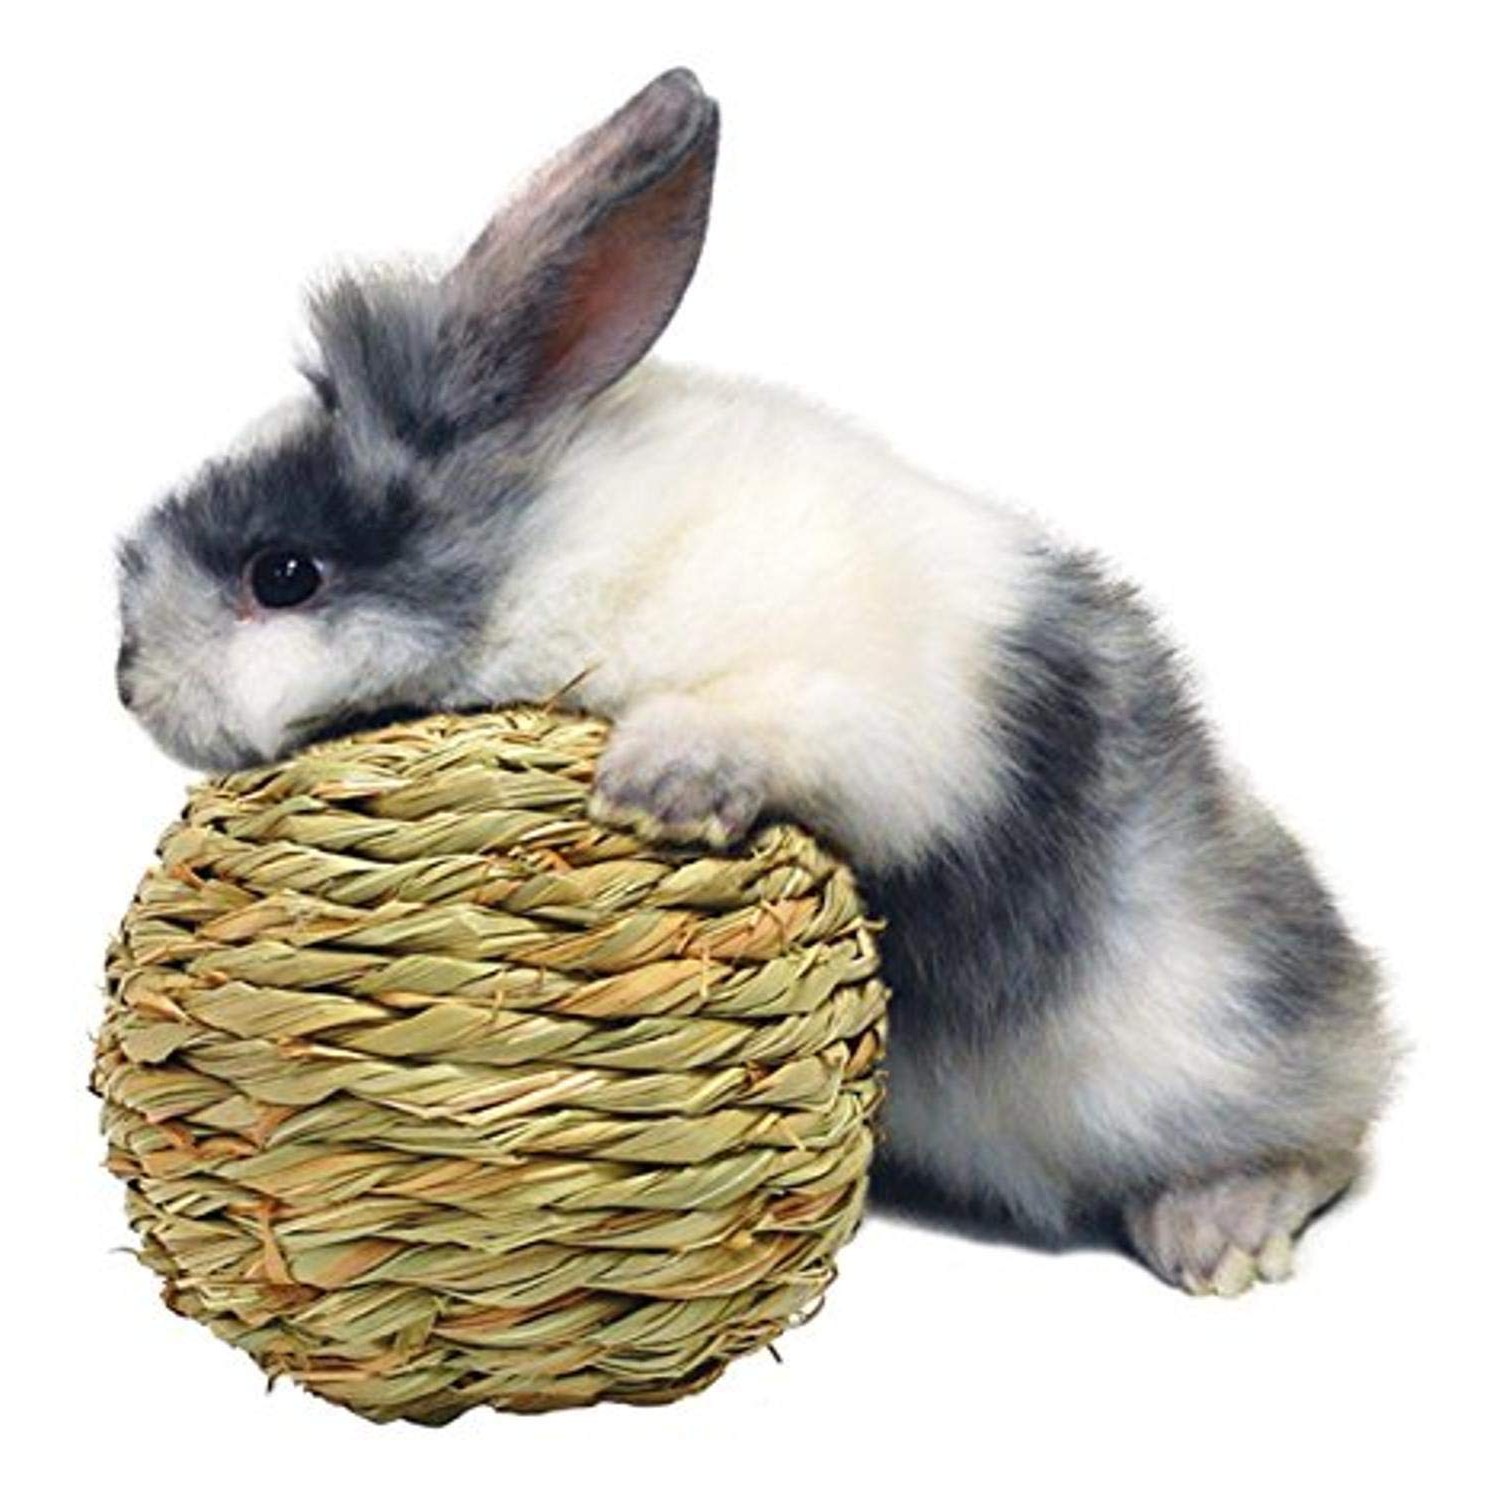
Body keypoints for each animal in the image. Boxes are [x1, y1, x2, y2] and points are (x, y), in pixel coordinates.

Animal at [116, 68, 1395, 1296]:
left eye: (283, 575)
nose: (130, 685)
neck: (547, 546)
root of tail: (1356, 1009)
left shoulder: (882, 711)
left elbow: (780, 717)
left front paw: (656, 785)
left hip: (1203, 1046)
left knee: (1326, 1138)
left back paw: (1219, 1234)